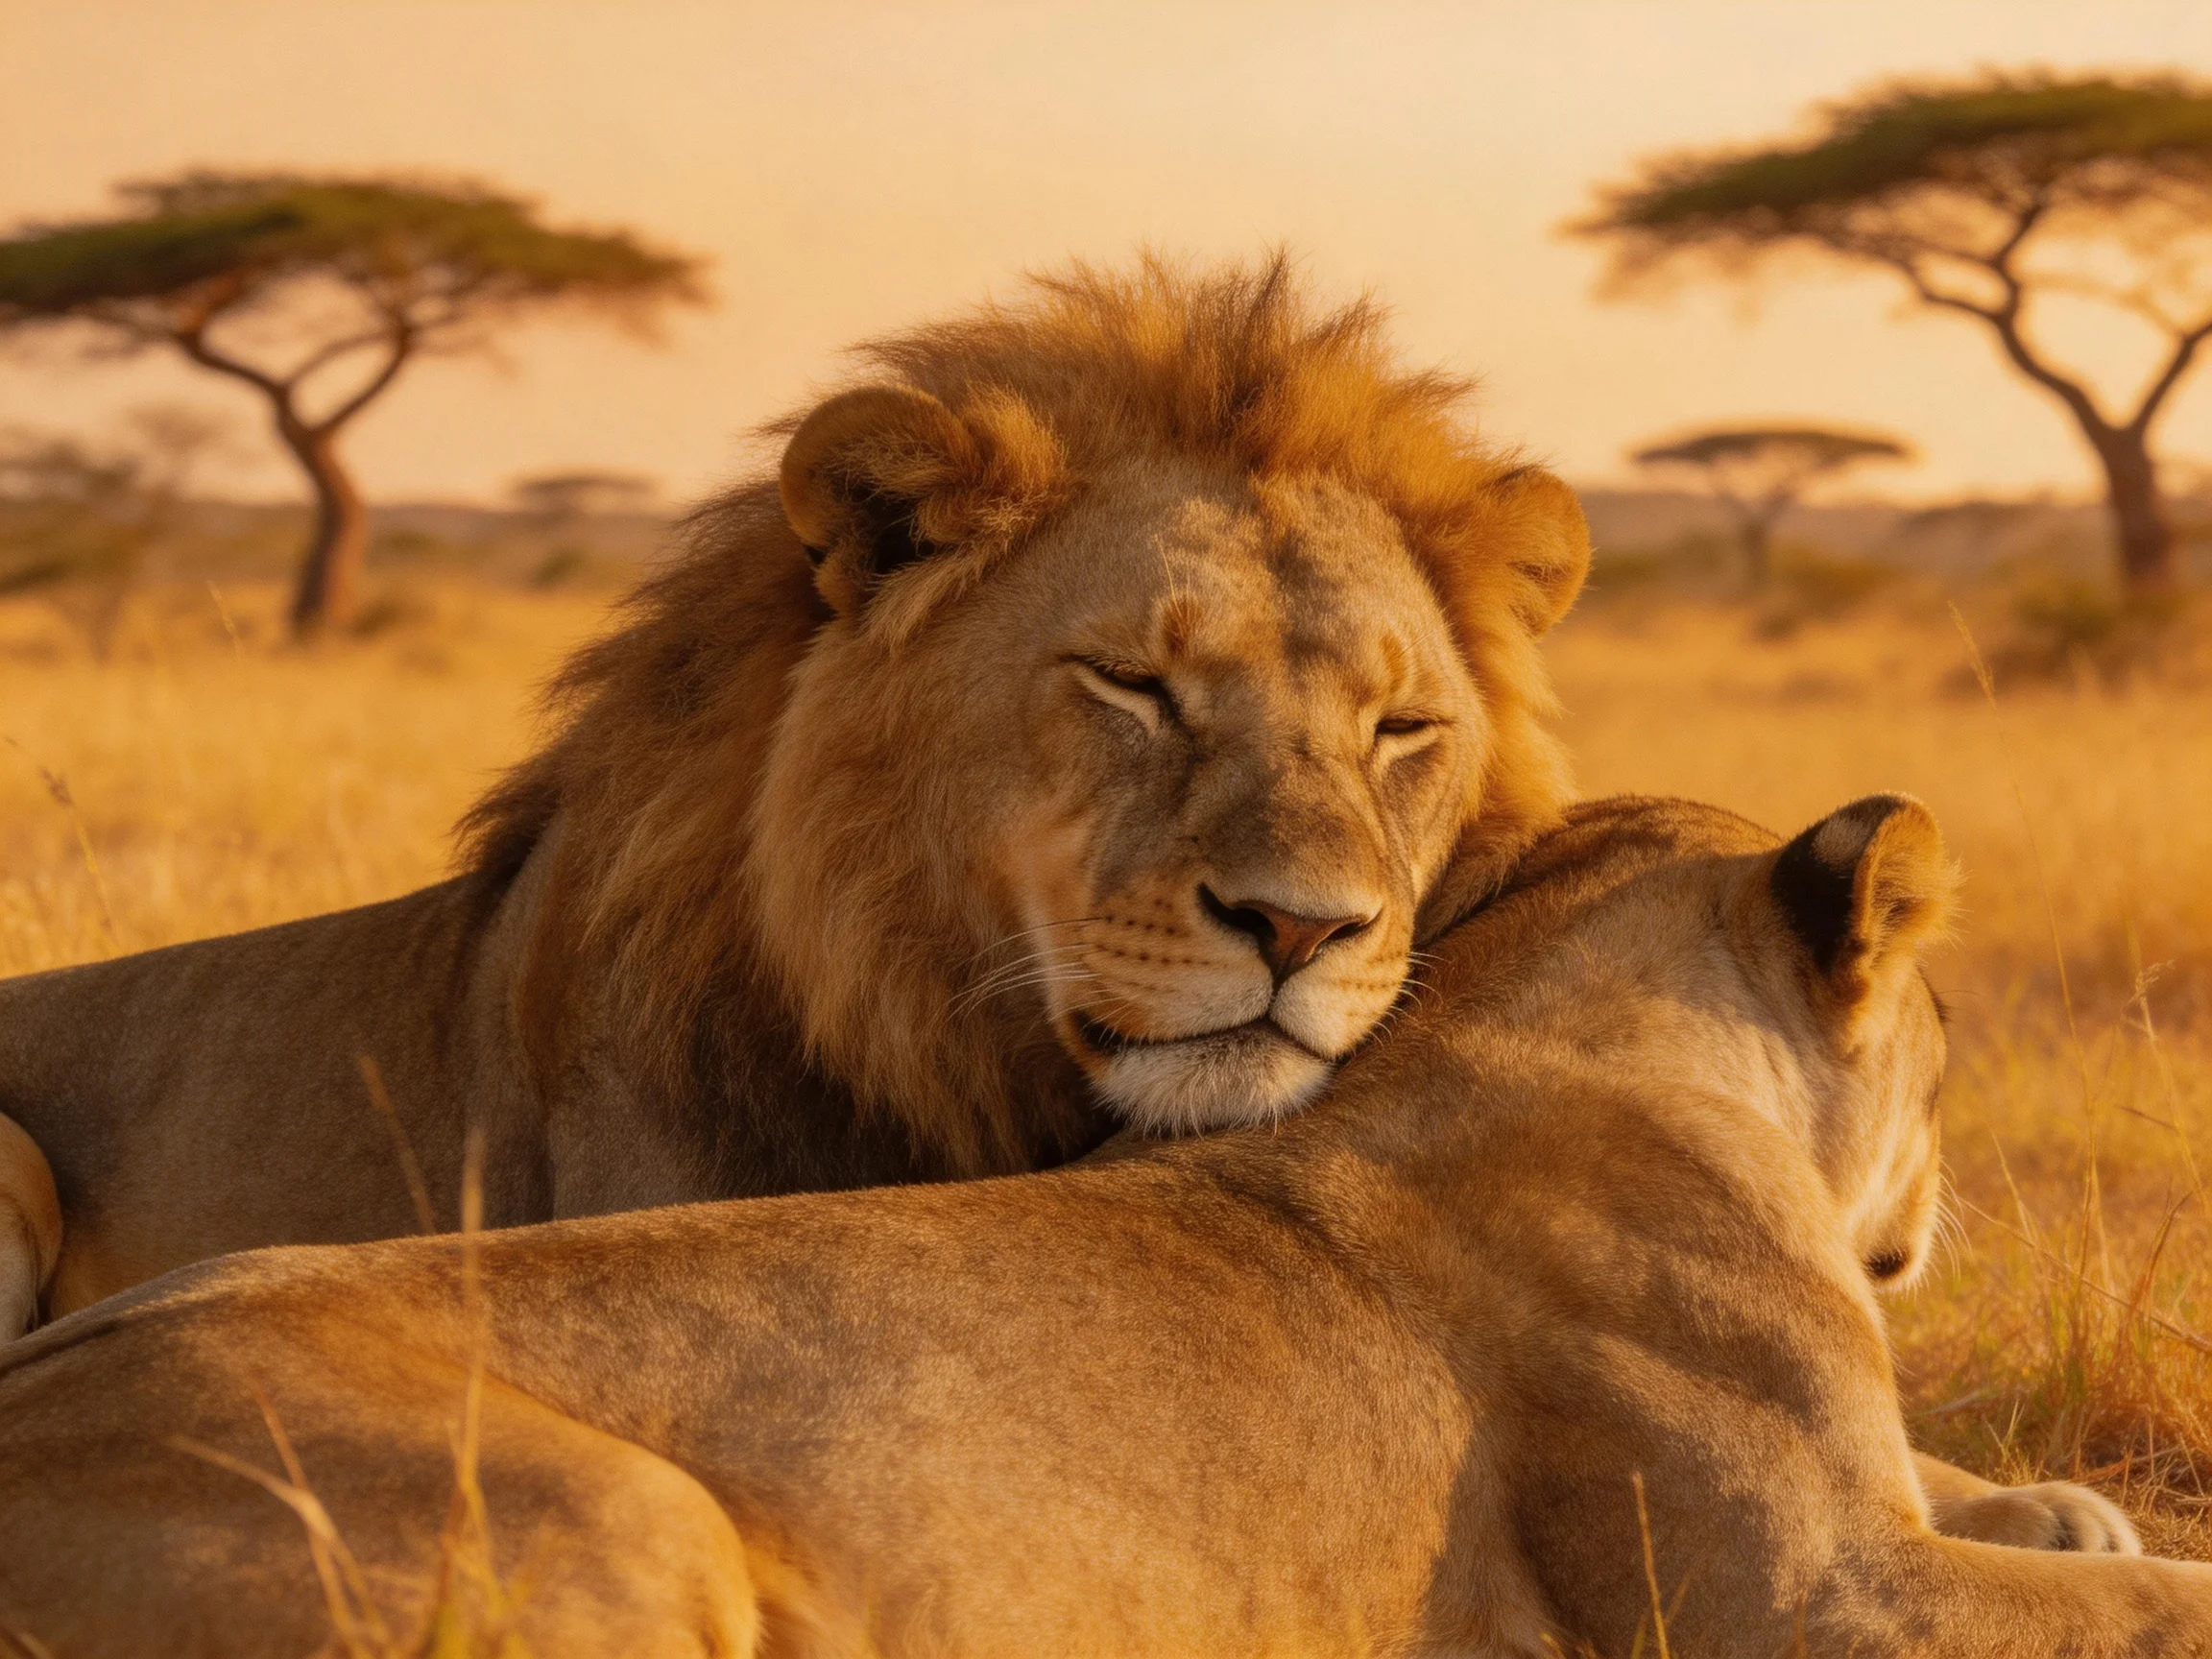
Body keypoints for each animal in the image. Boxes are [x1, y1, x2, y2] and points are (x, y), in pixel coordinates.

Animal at [0, 795, 2189, 1659]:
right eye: (1946, 1036)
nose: (1935, 1209)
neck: (1541, 1014)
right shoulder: (1807, 1597)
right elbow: (2156, 1602)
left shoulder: (1856, 1518)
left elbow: (2025, 1505)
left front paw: (2066, 1502)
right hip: (626, 1520)